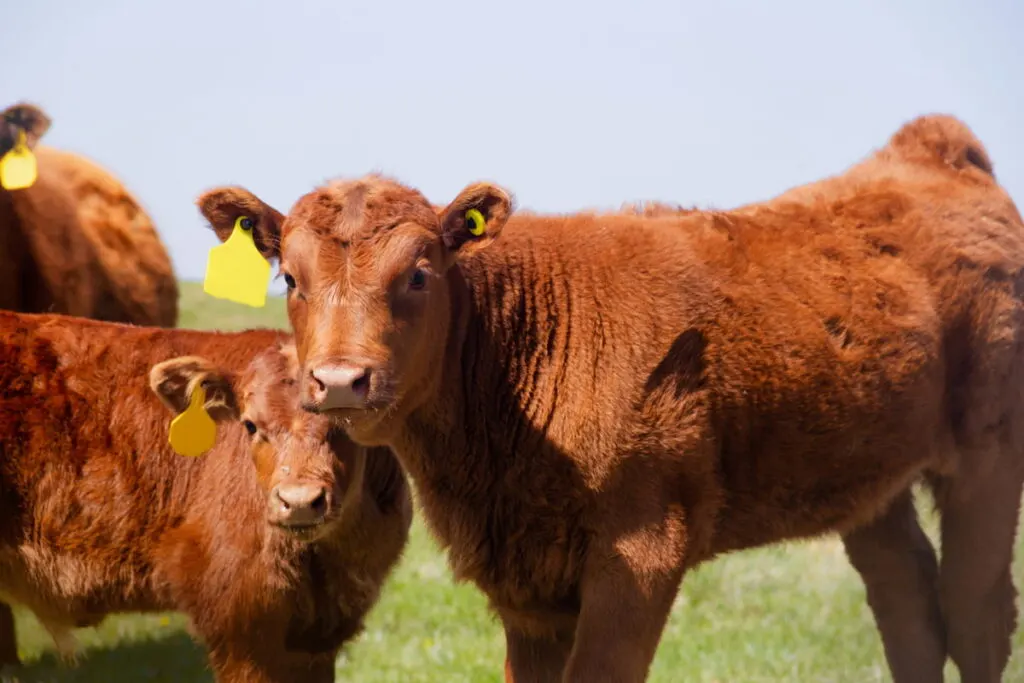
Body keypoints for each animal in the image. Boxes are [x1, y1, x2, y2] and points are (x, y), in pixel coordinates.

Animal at [197, 116, 1024, 683]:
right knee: (907, 602)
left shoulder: (640, 549)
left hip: (989, 454)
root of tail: (931, 149)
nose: (340, 380)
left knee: (975, 612)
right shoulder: (526, 579)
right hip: (867, 473)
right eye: (290, 276)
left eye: (420, 273)